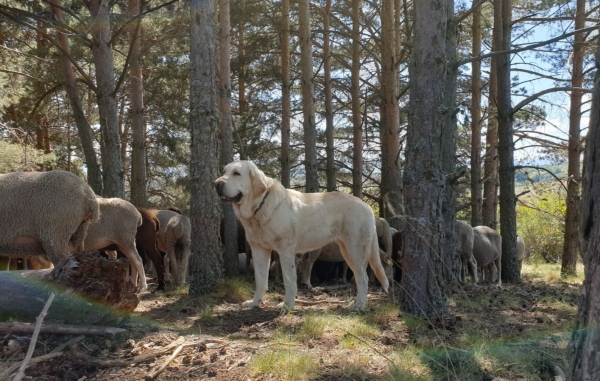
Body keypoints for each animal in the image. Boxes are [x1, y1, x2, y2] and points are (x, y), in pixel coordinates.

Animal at [213, 159, 392, 310]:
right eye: (224, 171)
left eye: (237, 173)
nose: (216, 183)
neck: (260, 208)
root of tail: (366, 207)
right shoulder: (259, 250)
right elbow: (260, 279)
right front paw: (255, 302)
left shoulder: (285, 252)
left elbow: (289, 280)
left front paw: (287, 306)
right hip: (346, 251)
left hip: (355, 250)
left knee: (363, 279)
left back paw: (359, 305)